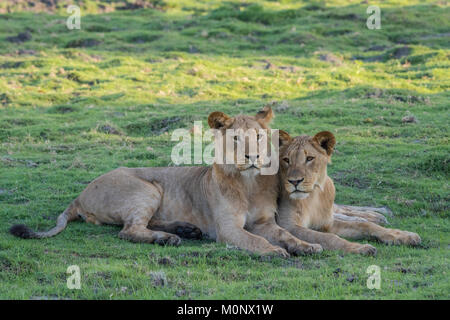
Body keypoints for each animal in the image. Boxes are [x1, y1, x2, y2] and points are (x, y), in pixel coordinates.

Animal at [8, 107, 322, 258]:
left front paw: (305, 246)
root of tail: (79, 196)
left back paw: (185, 230)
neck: (249, 183)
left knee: (140, 224)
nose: (253, 156)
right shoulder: (228, 229)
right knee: (129, 231)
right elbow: (254, 239)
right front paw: (273, 251)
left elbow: (284, 234)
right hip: (146, 187)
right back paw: (169, 238)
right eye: (235, 138)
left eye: (258, 136)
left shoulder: (265, 221)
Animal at [274, 130, 422, 255]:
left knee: (341, 209)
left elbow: (364, 225)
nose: (294, 181)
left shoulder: (326, 223)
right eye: (286, 160)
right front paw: (360, 247)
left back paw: (378, 215)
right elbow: (329, 238)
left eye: (310, 158)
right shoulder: (288, 226)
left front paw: (403, 235)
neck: (312, 197)